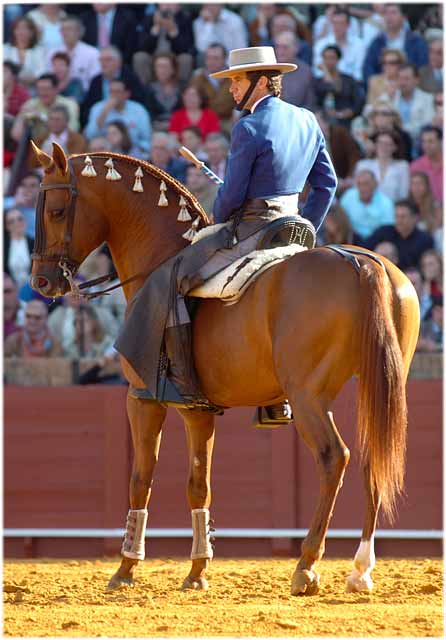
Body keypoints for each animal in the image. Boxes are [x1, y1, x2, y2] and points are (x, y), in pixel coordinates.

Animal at [31, 142, 422, 596]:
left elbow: (141, 479)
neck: (160, 253)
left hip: (309, 395)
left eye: (56, 210)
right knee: (374, 456)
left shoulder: (143, 400)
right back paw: (360, 568)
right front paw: (197, 571)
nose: (42, 282)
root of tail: (363, 265)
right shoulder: (199, 410)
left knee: (333, 458)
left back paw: (306, 564)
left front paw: (125, 569)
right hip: (378, 386)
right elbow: (199, 485)